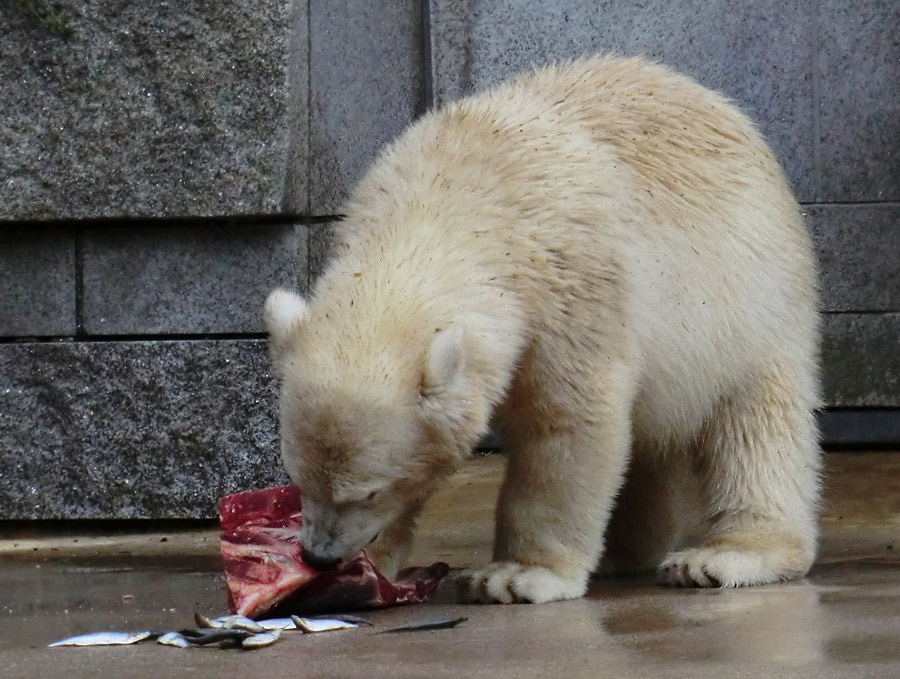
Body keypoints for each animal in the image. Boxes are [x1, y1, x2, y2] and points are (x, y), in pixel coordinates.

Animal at [264, 55, 820, 604]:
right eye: (298, 478)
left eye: (368, 490)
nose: (318, 555)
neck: (454, 199)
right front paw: (372, 569)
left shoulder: (573, 288)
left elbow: (568, 424)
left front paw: (514, 575)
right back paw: (624, 550)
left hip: (752, 304)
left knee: (755, 425)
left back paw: (725, 555)